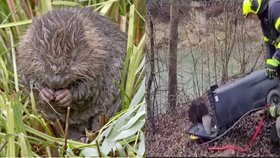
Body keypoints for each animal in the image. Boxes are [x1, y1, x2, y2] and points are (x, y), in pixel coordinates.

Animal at [17, 8, 126, 140]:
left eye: (73, 58)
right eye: (42, 56)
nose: (55, 82)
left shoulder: (102, 56)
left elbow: (92, 85)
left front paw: (64, 96)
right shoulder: (24, 54)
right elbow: (28, 79)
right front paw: (46, 93)